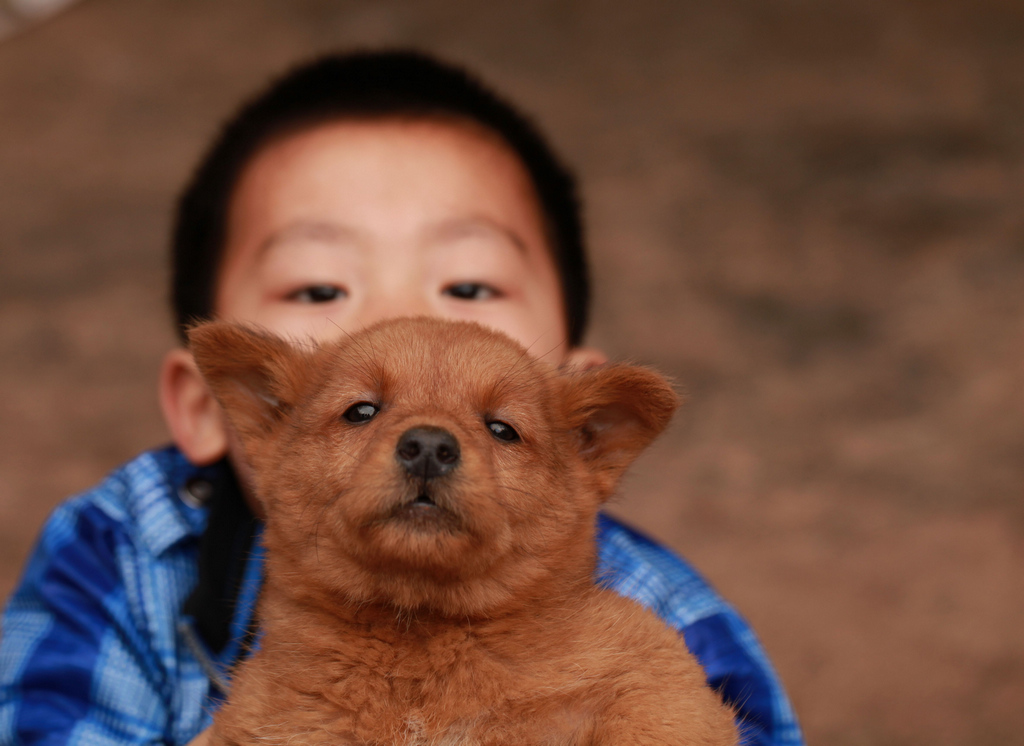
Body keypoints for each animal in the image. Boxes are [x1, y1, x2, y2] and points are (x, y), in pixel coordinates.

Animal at [190, 317, 737, 740]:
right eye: (361, 411)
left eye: (502, 429)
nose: (429, 447)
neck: (420, 634)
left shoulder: (662, 676)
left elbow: (652, 719)